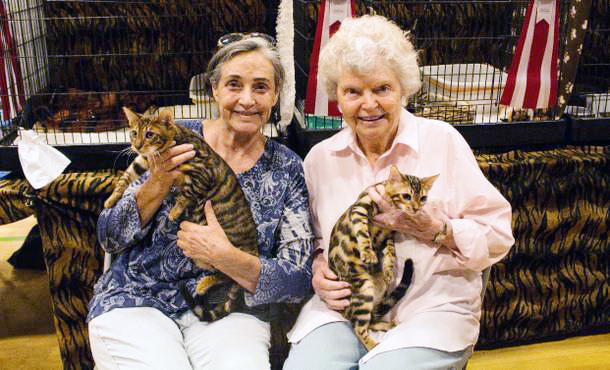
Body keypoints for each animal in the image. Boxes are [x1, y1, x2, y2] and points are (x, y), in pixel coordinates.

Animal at [104, 106, 256, 320]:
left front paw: (175, 211)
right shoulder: (143, 160)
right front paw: (111, 198)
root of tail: (255, 249)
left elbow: (187, 194)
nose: (138, 145)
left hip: (229, 253)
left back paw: (203, 284)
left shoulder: (202, 174)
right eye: (134, 133)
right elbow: (125, 177)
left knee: (229, 274)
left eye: (150, 134)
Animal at [328, 166, 436, 352]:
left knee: (369, 319)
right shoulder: (360, 208)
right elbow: (362, 232)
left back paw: (386, 325)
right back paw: (372, 345)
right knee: (358, 326)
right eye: (406, 196)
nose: (416, 209)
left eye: (423, 198)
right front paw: (368, 253)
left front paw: (388, 267)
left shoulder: (388, 234)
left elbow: (390, 250)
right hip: (364, 287)